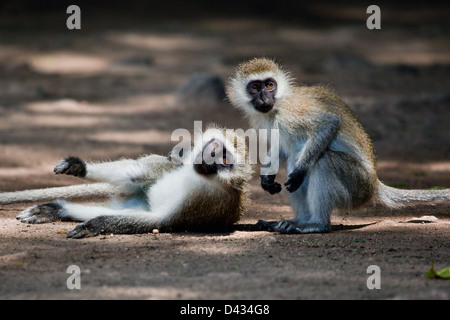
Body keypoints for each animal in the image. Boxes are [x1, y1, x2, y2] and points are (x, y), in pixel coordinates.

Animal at [5, 124, 251, 238]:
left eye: (225, 161)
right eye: (218, 149)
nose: (210, 158)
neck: (200, 176)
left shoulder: (203, 201)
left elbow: (158, 220)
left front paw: (94, 225)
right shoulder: (178, 164)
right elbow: (134, 173)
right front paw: (79, 166)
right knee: (140, 175)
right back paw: (57, 209)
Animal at [229, 57, 450, 234]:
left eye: (269, 85)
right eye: (255, 87)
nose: (264, 98)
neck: (276, 106)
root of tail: (374, 185)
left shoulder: (292, 111)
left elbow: (329, 123)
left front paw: (299, 172)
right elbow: (281, 148)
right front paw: (267, 178)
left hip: (357, 185)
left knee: (322, 161)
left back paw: (317, 224)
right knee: (294, 160)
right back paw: (297, 220)